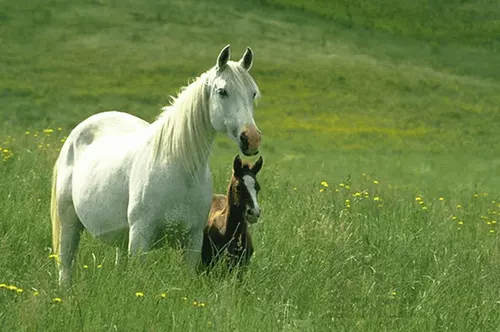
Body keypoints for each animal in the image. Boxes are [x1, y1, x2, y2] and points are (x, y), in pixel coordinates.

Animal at [50, 44, 262, 286]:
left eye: (253, 93)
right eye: (222, 92)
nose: (251, 138)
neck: (179, 168)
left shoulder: (193, 240)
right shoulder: (140, 237)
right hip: (68, 223)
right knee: (65, 265)